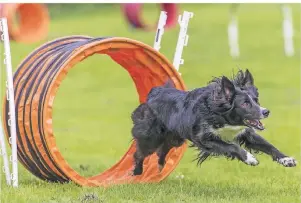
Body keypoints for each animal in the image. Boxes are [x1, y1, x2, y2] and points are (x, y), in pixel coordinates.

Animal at [131, 69, 296, 175]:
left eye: (256, 100)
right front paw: (250, 158)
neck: (222, 117)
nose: (266, 111)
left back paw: (160, 167)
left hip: (174, 138)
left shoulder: (246, 133)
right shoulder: (204, 139)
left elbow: (268, 145)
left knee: (162, 150)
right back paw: (137, 171)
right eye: (245, 103)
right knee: (140, 152)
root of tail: (154, 92)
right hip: (151, 137)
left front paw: (287, 159)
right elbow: (232, 147)